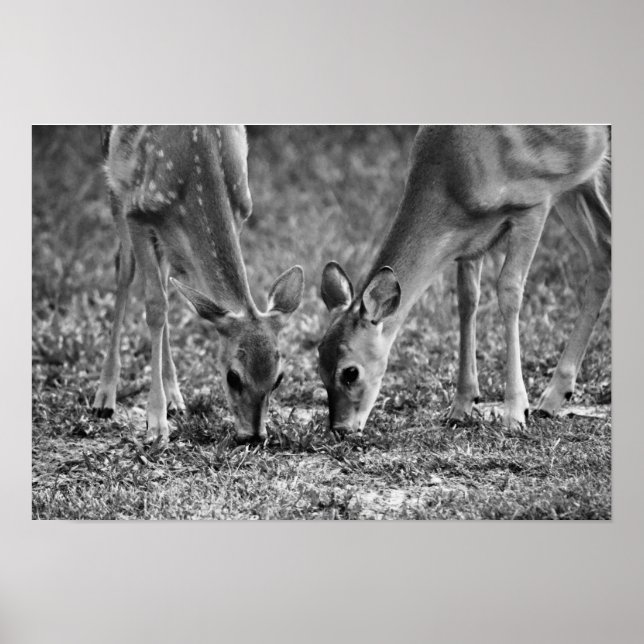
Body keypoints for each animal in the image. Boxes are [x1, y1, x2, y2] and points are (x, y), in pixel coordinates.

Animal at [92, 125, 304, 444]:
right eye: (232, 377)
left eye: (278, 379)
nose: (254, 435)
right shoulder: (137, 211)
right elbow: (155, 306)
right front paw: (156, 424)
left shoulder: (240, 211)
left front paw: (165, 408)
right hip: (115, 183)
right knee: (124, 267)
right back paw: (104, 398)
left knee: (163, 278)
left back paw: (175, 399)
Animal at [319, 125, 611, 433]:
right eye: (319, 366)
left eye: (350, 372)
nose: (340, 428)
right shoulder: (470, 238)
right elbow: (467, 299)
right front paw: (461, 406)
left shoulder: (535, 201)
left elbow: (509, 290)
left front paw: (515, 412)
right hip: (579, 183)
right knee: (603, 252)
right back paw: (556, 396)